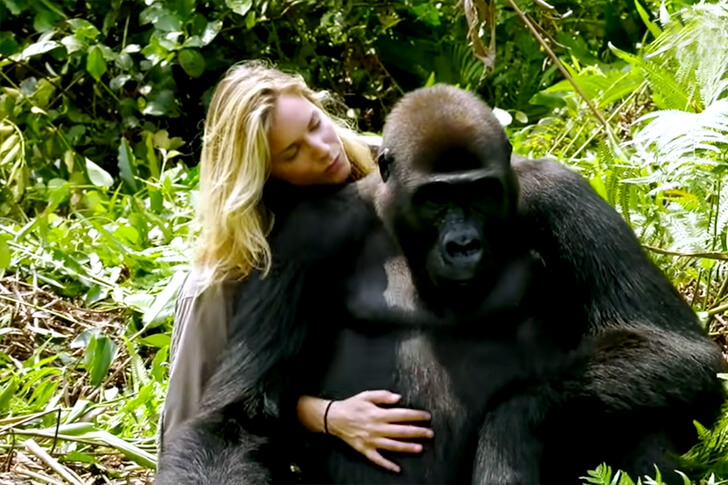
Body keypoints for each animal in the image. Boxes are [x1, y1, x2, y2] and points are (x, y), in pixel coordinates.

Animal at [158, 85, 724, 482]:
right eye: (436, 199)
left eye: (479, 192)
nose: (463, 245)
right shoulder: (308, 234)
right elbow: (236, 422)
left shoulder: (563, 194)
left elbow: (679, 350)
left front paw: (509, 430)